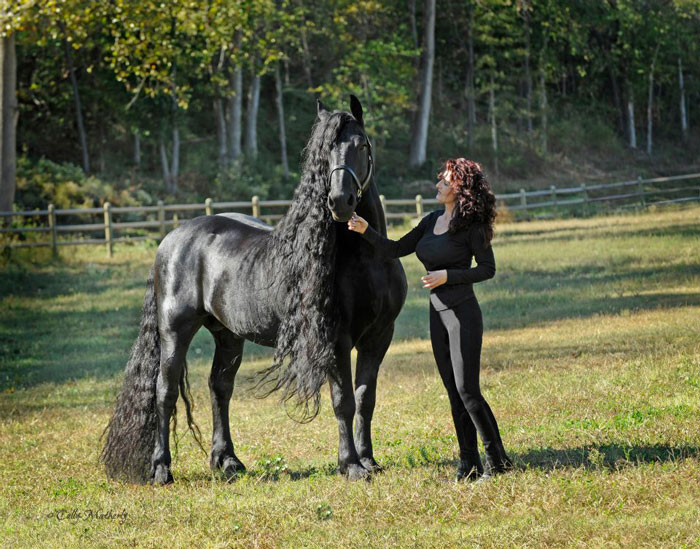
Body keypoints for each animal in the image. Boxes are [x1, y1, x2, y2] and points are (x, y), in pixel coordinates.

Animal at [101, 95, 408, 484]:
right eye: (322, 153)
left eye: (362, 145)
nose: (340, 201)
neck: (367, 260)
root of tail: (170, 239)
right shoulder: (335, 339)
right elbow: (344, 401)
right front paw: (350, 465)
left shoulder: (379, 336)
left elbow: (366, 399)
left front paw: (369, 460)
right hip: (174, 331)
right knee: (164, 393)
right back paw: (161, 470)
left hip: (228, 335)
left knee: (219, 388)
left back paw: (227, 461)